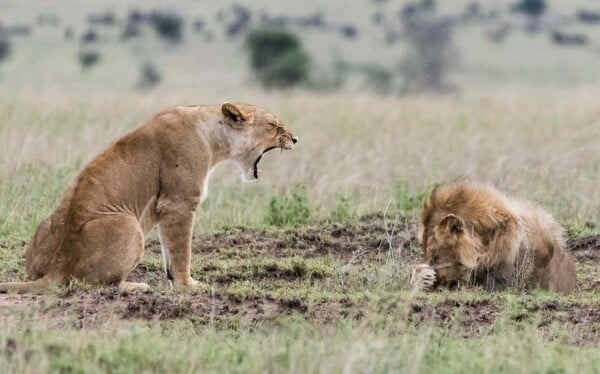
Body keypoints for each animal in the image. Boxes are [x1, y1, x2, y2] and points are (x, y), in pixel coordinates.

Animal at [0, 103, 298, 294]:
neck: (213, 136)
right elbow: (181, 251)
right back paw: (135, 286)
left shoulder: (169, 207)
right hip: (129, 224)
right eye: (275, 126)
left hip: (47, 224)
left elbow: (170, 254)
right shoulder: (179, 202)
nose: (295, 139)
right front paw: (187, 286)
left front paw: (175, 281)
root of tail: (56, 268)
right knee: (93, 283)